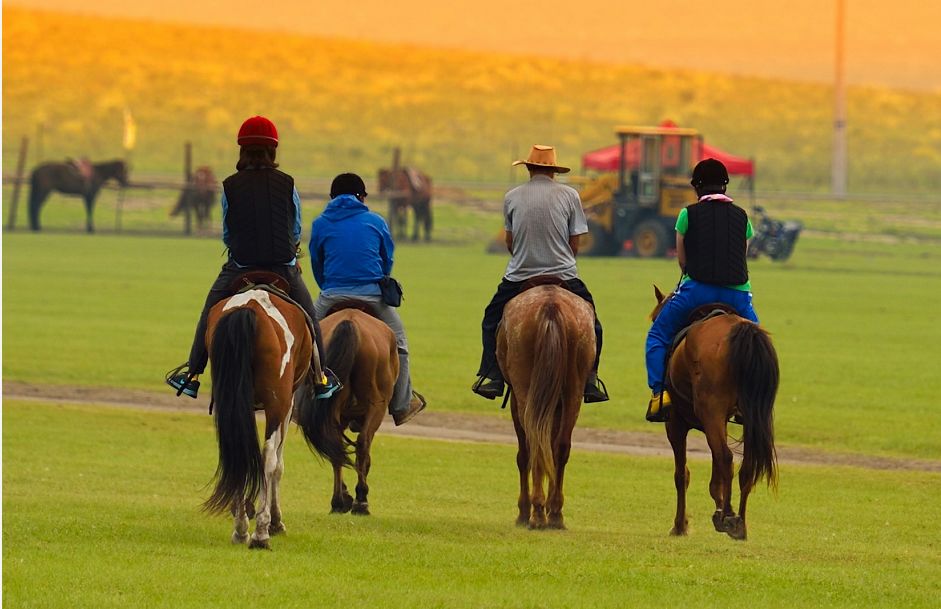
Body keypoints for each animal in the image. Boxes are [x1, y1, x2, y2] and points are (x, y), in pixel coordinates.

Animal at [201, 288, 312, 548]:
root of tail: (249, 307)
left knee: (237, 454)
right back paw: (260, 533)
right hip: (277, 404)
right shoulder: (287, 406)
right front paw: (275, 523)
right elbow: (278, 465)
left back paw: (241, 530)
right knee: (268, 457)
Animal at [294, 308, 396, 512]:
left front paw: (344, 496)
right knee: (363, 444)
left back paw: (338, 501)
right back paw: (361, 500)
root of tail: (350, 322)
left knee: (335, 445)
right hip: (377, 405)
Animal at [496, 284, 592, 528]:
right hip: (573, 391)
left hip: (524, 389)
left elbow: (523, 455)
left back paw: (536, 513)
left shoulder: (516, 399)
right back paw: (555, 514)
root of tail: (550, 306)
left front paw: (523, 511)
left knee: (534, 445)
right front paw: (549, 508)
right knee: (560, 446)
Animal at [652, 282, 780, 540]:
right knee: (746, 465)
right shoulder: (718, 422)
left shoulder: (676, 424)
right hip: (748, 418)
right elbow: (715, 477)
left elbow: (682, 475)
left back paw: (728, 517)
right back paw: (740, 523)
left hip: (710, 414)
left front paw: (680, 525)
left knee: (727, 458)